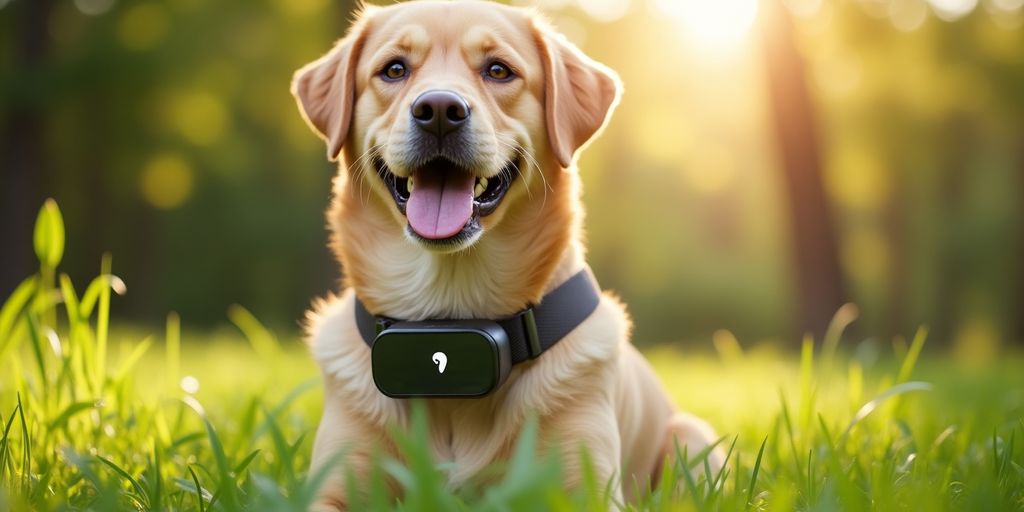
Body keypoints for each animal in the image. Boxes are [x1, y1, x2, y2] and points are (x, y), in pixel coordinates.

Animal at [290, 1, 720, 507]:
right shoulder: (332, 486)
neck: (451, 314)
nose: (439, 111)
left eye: (498, 70)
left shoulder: (588, 489)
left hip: (692, 440)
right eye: (394, 69)